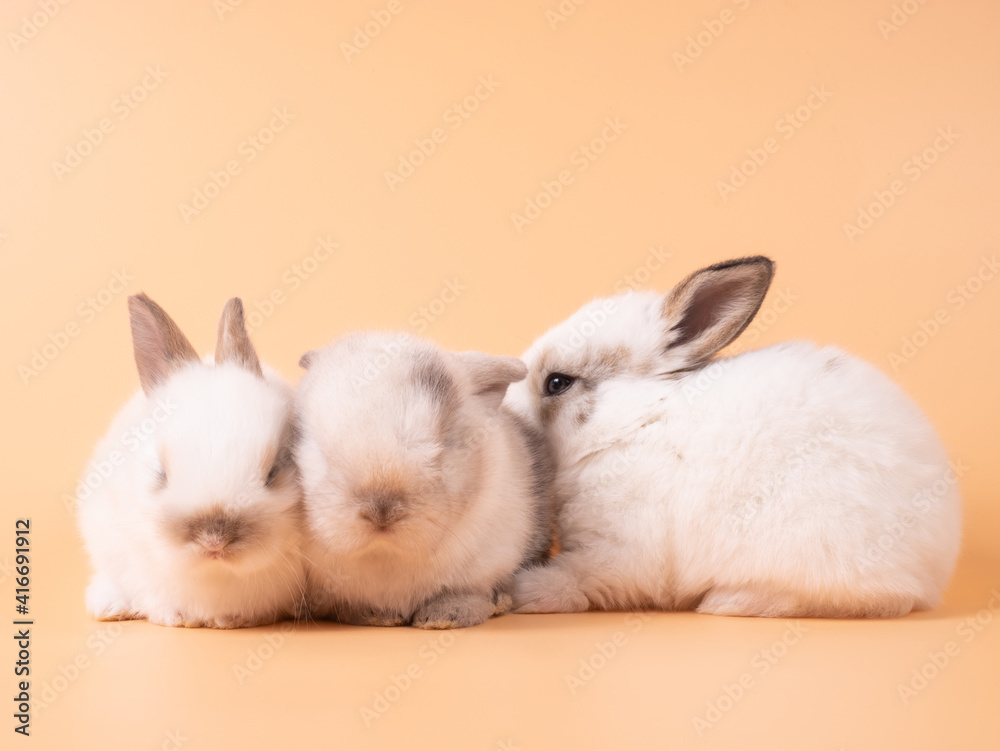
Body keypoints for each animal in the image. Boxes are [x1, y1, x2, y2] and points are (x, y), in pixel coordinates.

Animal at [294, 331, 553, 629]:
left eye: (446, 442)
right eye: (311, 442)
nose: (382, 510)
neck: (386, 557)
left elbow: (466, 593)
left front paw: (443, 618)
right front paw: (376, 616)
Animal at [506, 256, 962, 618]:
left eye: (558, 383)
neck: (633, 422)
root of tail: (932, 572)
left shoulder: (620, 554)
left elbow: (579, 579)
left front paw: (525, 591)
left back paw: (728, 601)